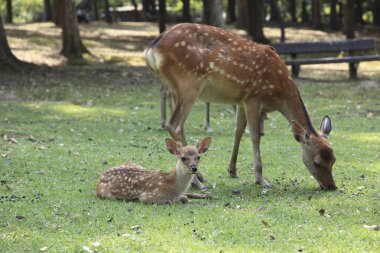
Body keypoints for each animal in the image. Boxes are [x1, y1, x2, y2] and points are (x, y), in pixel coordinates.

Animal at [144, 23, 336, 190]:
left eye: (334, 159)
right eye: (317, 162)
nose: (331, 186)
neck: (279, 93)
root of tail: (152, 49)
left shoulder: (241, 100)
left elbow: (238, 131)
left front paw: (232, 170)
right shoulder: (253, 96)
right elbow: (255, 135)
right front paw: (261, 179)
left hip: (177, 87)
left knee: (180, 126)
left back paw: (199, 175)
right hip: (190, 82)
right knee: (174, 124)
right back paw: (197, 182)